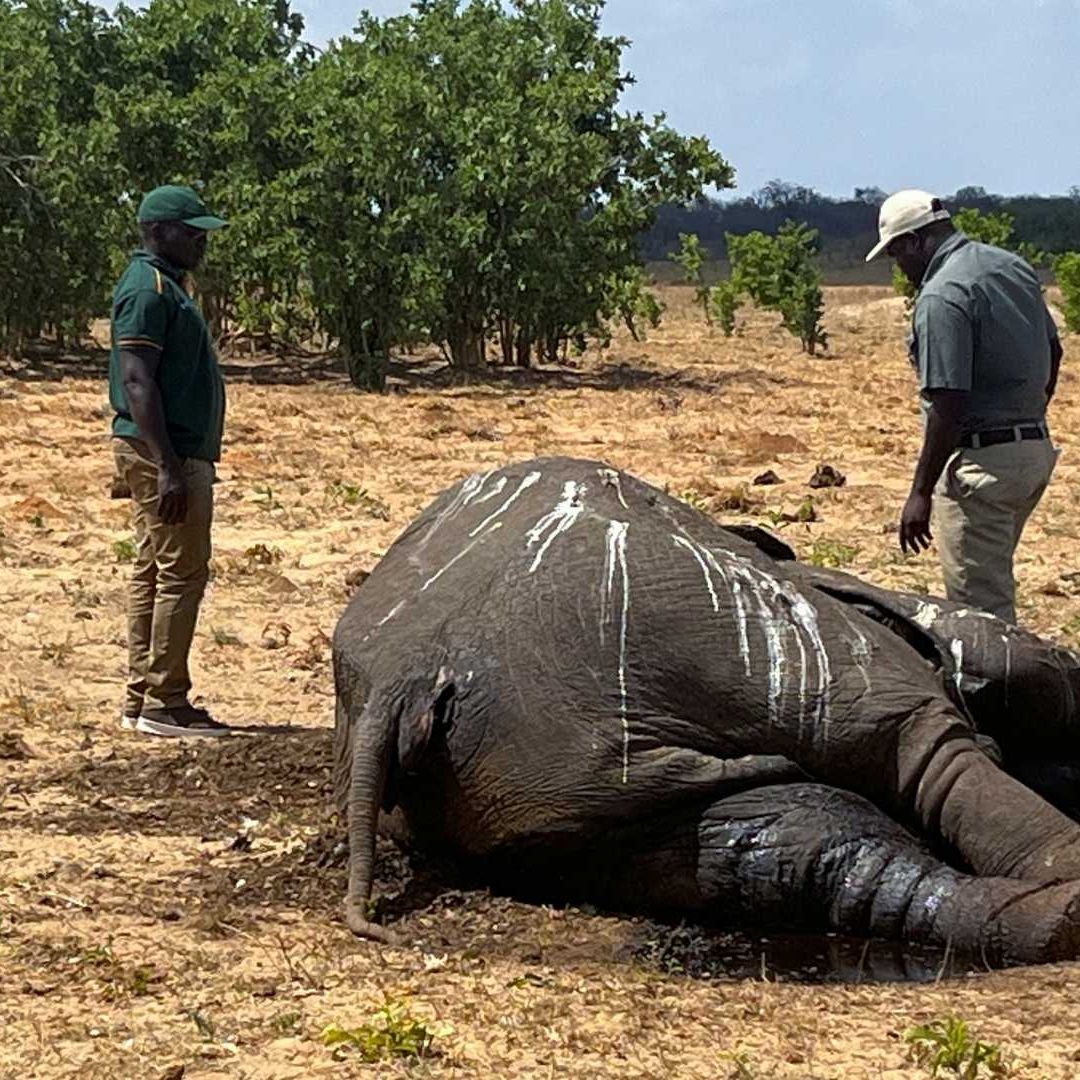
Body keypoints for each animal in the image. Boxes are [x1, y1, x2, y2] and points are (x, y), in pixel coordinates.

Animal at [332, 456, 1080, 965]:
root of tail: (408, 669)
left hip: (536, 783)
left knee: (793, 848)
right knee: (918, 746)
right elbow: (1029, 676)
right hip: (730, 638)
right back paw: (1064, 897)